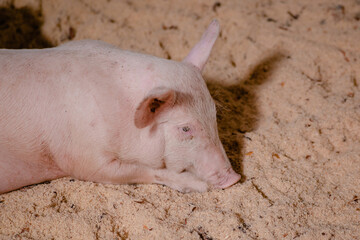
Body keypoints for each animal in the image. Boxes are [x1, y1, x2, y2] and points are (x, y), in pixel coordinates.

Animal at [0, 19, 242, 194]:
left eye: (214, 115)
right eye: (185, 128)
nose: (234, 178)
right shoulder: (83, 156)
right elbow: (142, 170)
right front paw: (200, 186)